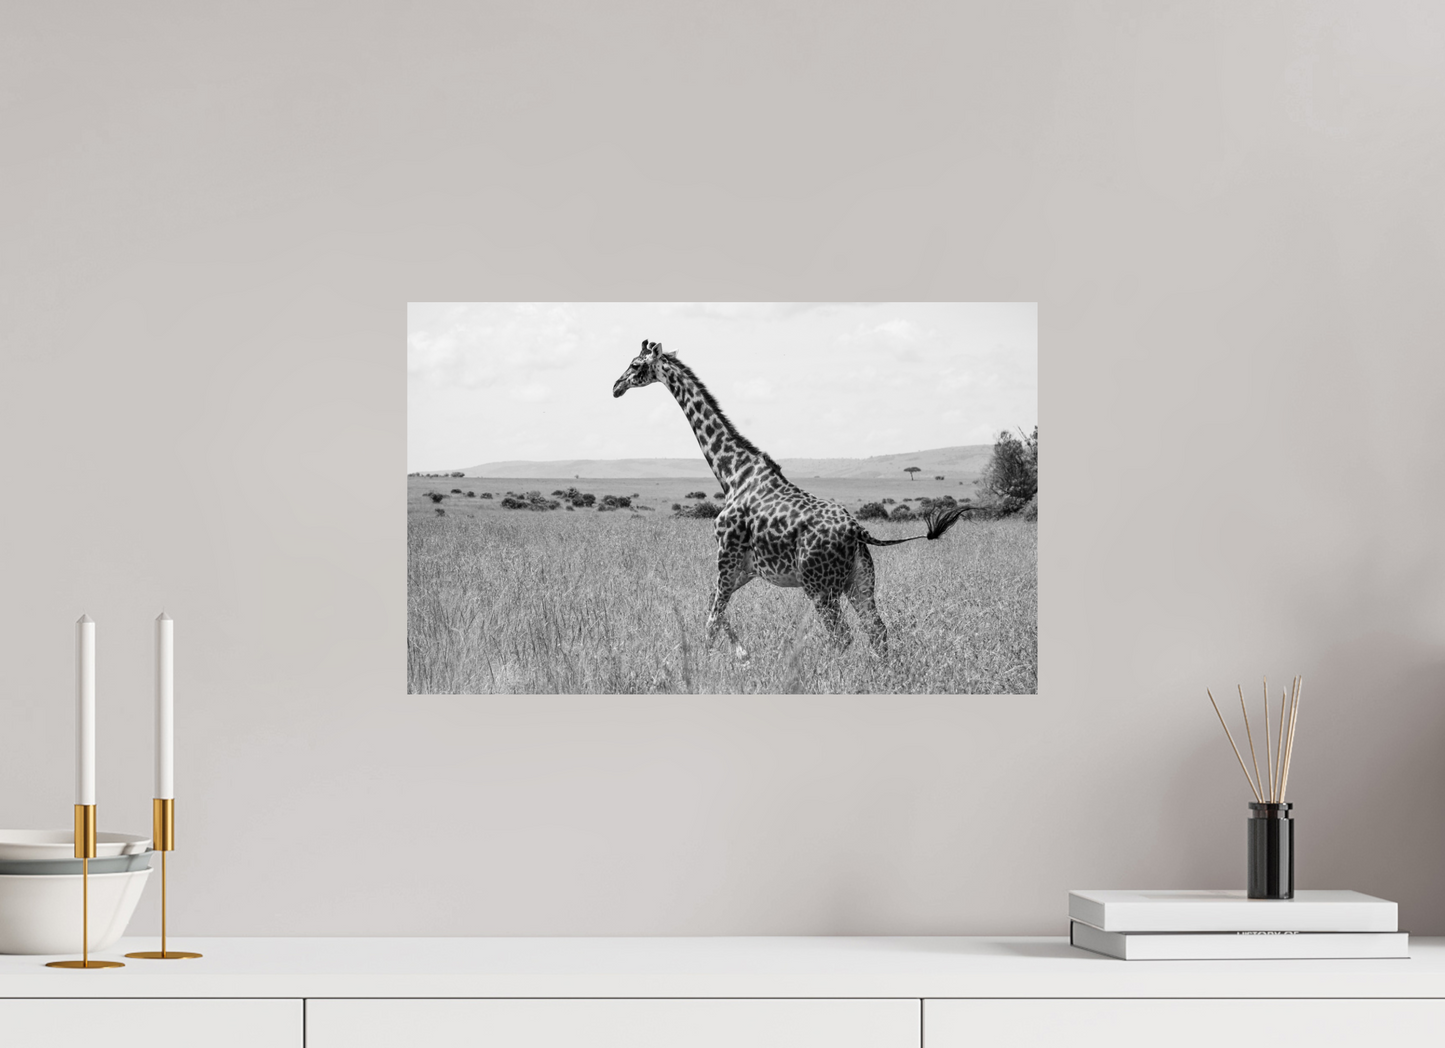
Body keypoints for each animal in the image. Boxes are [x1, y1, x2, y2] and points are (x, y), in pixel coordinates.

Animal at [612, 340, 966, 659]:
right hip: (860, 581)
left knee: (842, 636)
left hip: (820, 586)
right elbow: (713, 605)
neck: (732, 474)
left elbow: (712, 618)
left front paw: (705, 663)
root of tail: (857, 531)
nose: (616, 386)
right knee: (876, 630)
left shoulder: (726, 555)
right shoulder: (745, 568)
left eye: (635, 364)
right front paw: (742, 654)